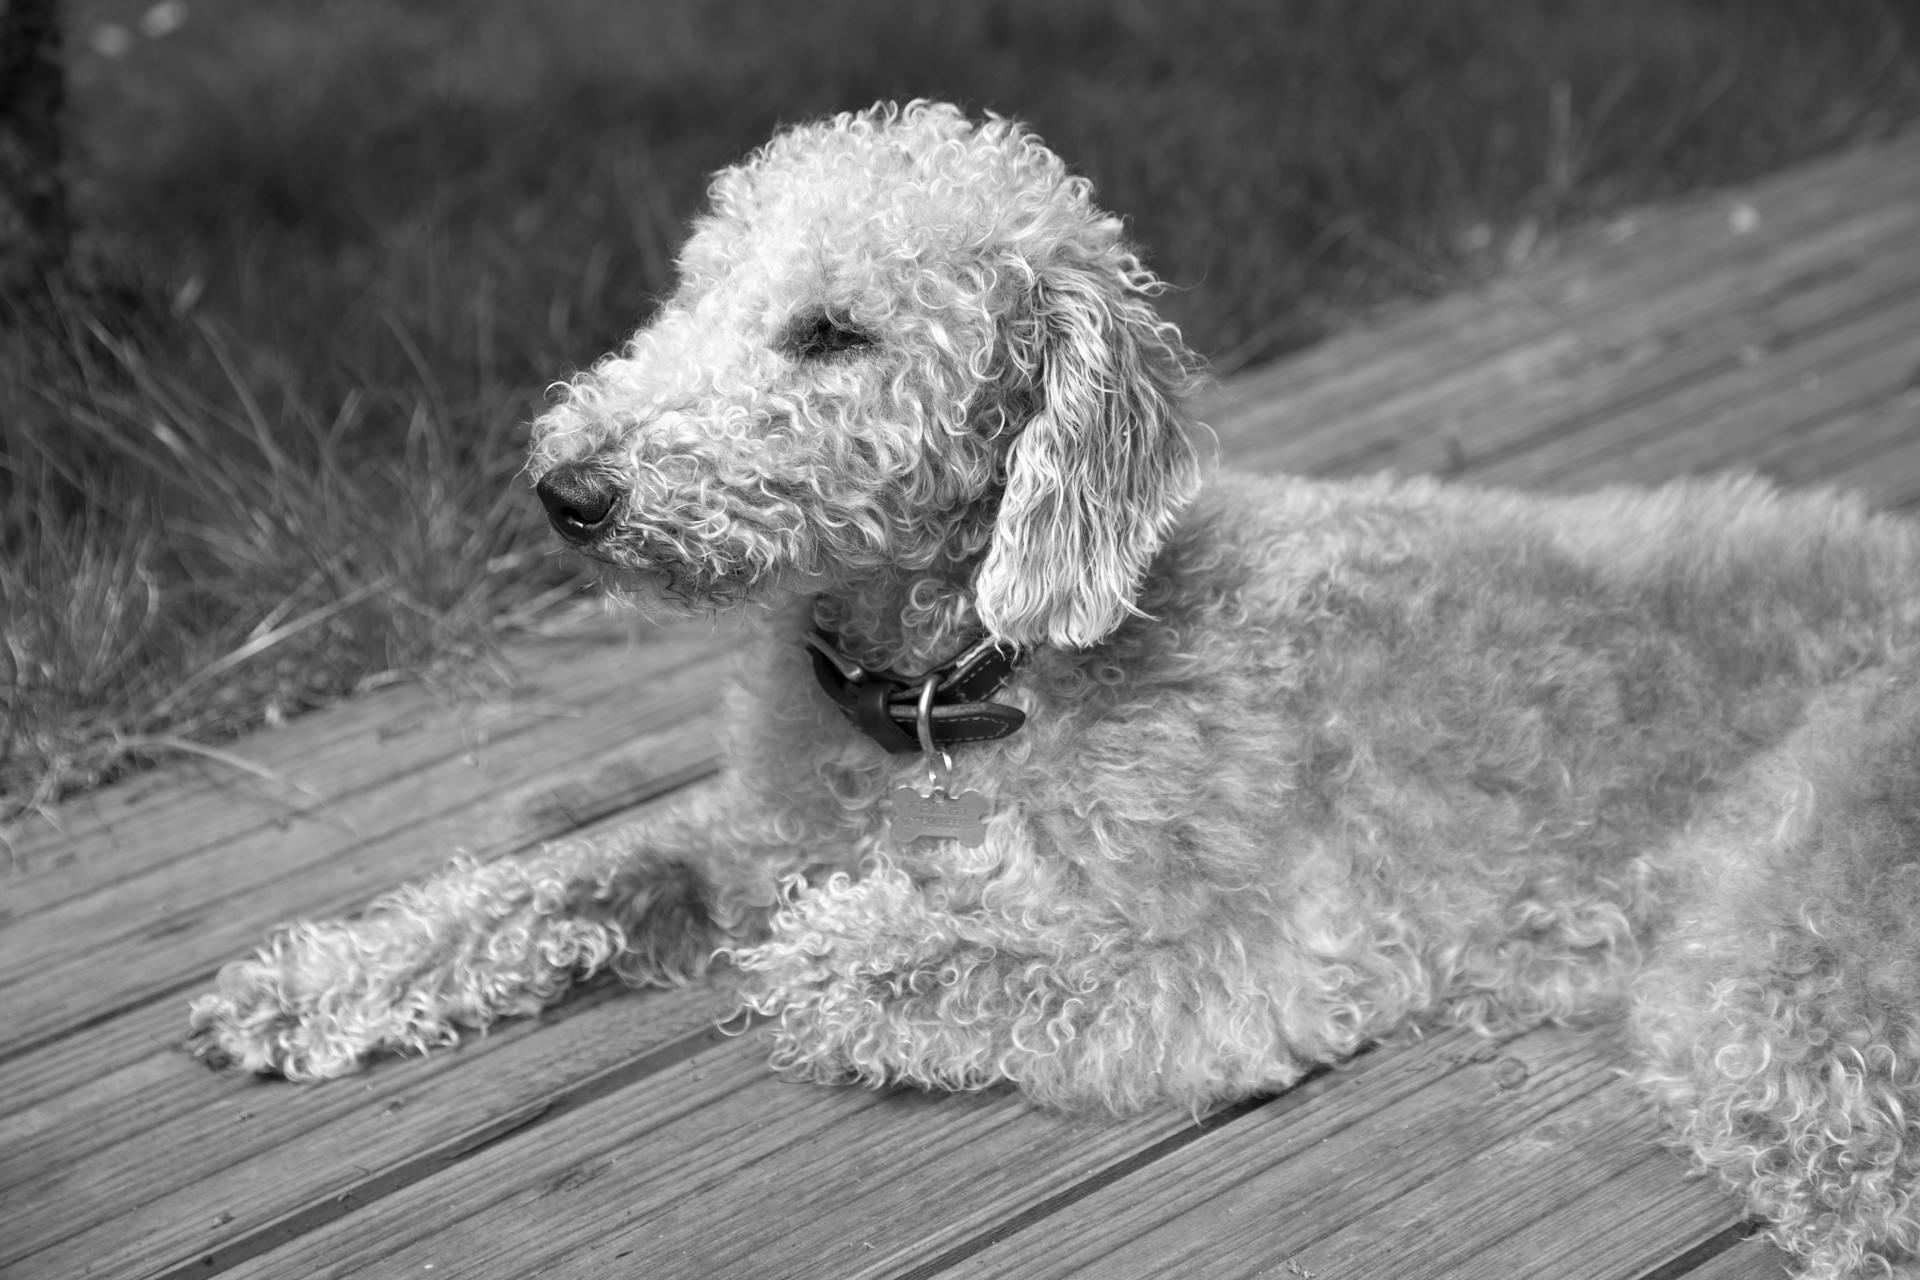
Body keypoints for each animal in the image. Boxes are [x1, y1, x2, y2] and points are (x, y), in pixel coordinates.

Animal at [191, 102, 1920, 1280]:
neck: (952, 692)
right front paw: (308, 984)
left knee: (1859, 1165)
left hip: (1787, 952)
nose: (569, 489)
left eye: (832, 331)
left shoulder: (1249, 954)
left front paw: (855, 944)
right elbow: (543, 884)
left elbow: (933, 962)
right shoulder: (744, 840)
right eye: (693, 294)